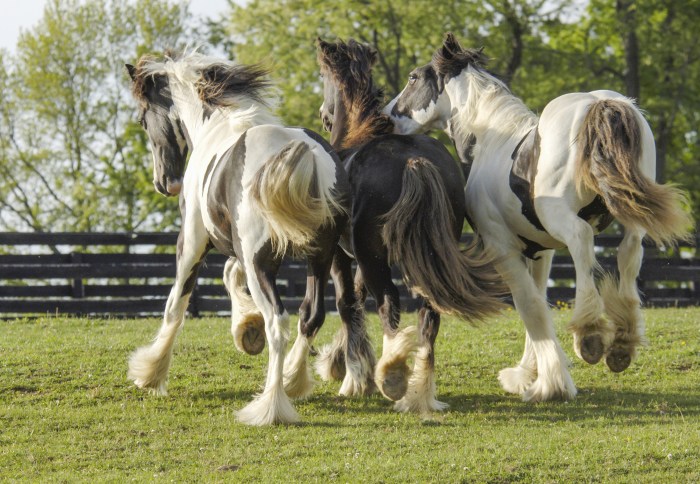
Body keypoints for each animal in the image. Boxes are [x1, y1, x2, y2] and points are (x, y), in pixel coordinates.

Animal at [125, 51, 350, 425]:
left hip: (262, 265)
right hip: (319, 259)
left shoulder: (193, 241)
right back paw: (292, 379)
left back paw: (270, 406)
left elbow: (176, 305)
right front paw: (247, 329)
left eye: (143, 119)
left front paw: (150, 372)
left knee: (278, 321)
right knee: (310, 315)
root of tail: (303, 155)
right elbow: (229, 275)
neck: (217, 124)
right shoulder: (239, 249)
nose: (164, 183)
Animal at [311, 38, 507, 413]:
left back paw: (392, 374)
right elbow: (357, 301)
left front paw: (351, 377)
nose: (323, 115)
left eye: (323, 79)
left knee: (389, 304)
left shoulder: (345, 256)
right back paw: (421, 392)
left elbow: (346, 303)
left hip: (376, 259)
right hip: (423, 257)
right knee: (429, 315)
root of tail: (415, 161)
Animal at [385, 33, 694, 402]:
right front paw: (527, 374)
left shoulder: (502, 248)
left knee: (582, 240)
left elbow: (529, 305)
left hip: (561, 215)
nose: (386, 117)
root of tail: (601, 104)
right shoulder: (540, 251)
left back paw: (589, 334)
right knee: (629, 254)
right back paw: (621, 344)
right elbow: (538, 299)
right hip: (631, 217)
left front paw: (549, 383)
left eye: (413, 78)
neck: (489, 140)